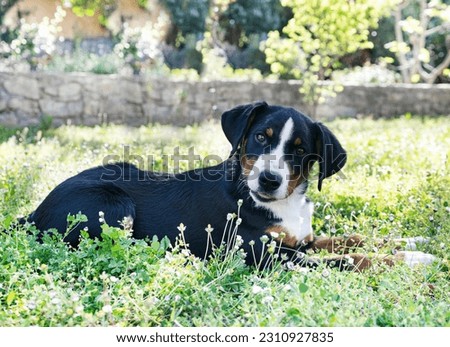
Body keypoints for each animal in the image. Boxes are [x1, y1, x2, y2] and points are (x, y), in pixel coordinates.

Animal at [25, 102, 436, 270]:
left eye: (299, 150)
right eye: (259, 137)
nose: (269, 180)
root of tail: (32, 213)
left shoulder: (298, 240)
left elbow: (349, 239)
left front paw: (414, 242)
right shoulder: (266, 255)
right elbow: (350, 258)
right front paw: (414, 261)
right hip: (114, 204)